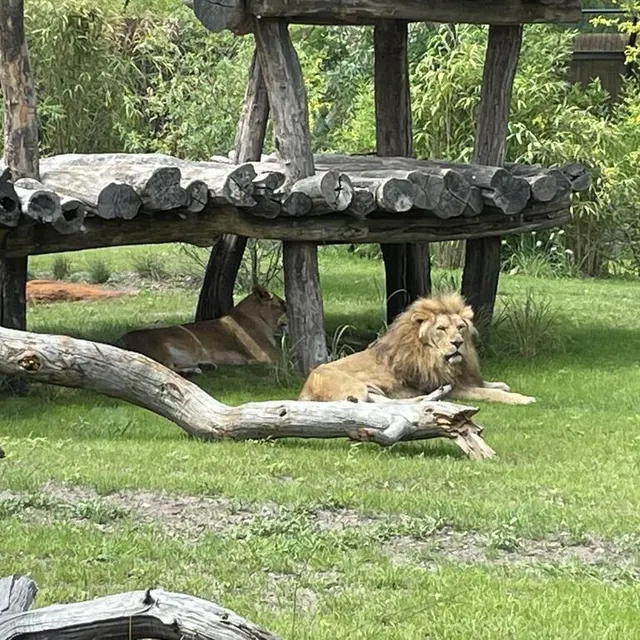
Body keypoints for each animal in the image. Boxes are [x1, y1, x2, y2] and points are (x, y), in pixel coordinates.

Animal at [117, 285, 287, 375]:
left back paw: (203, 367)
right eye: (282, 304)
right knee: (165, 368)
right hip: (173, 345)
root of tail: (122, 339)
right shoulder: (268, 354)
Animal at [299, 292, 535, 405]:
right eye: (441, 329)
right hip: (356, 387)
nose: (458, 342)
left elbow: (489, 385)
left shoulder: (460, 379)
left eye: (460, 327)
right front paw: (524, 399)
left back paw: (431, 398)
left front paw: (502, 385)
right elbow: (488, 393)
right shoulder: (456, 387)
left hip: (371, 391)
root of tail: (303, 390)